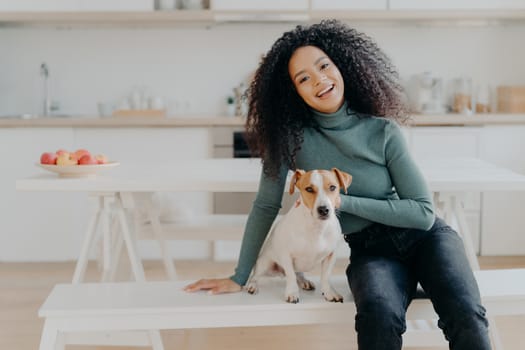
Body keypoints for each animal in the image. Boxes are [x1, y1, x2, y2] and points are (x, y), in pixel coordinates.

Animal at [247, 168, 352, 302]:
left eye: (333, 187)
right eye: (309, 189)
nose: (323, 210)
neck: (317, 227)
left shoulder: (331, 255)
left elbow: (326, 276)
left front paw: (329, 292)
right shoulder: (286, 255)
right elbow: (291, 275)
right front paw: (292, 292)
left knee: (298, 274)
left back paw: (304, 281)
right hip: (265, 264)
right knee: (255, 276)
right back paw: (252, 286)